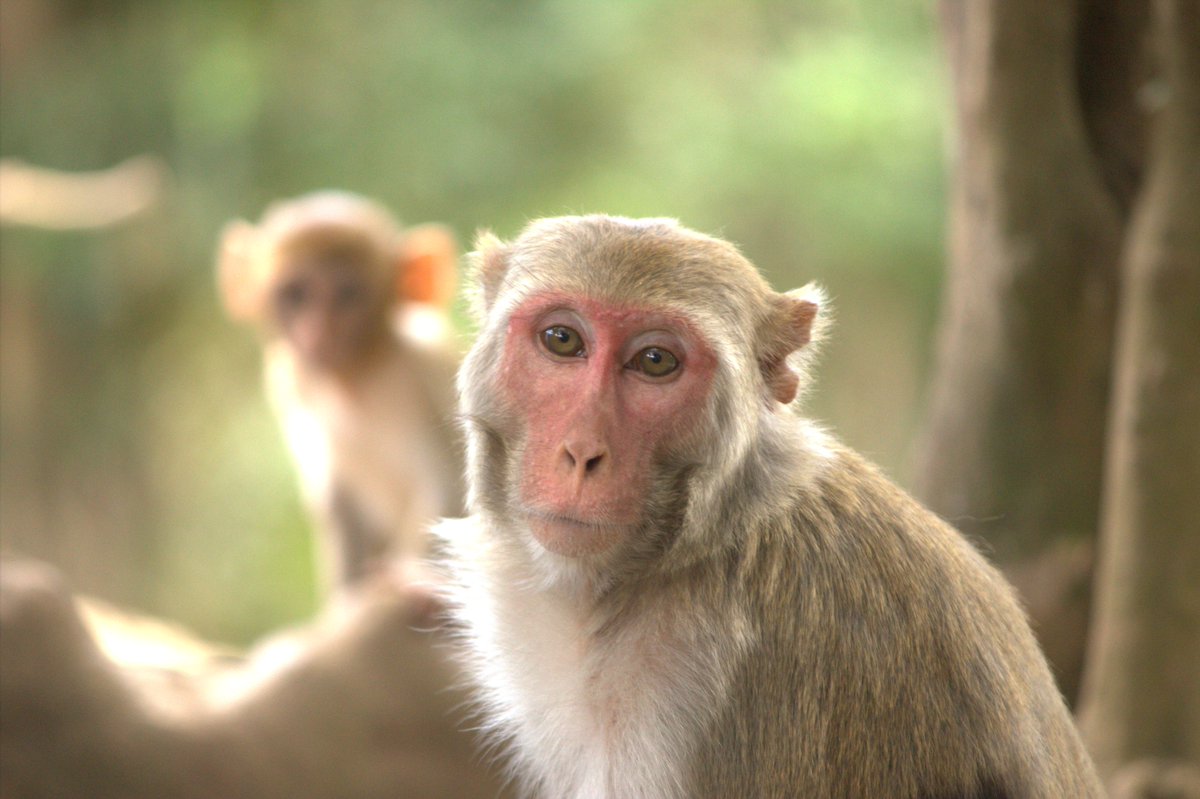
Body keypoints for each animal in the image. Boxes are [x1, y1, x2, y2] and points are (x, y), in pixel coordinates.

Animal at [218, 192, 465, 591]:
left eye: (349, 294)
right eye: (296, 294)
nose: (320, 330)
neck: (353, 379)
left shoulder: (423, 358)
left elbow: (448, 485)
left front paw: (404, 575)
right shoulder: (287, 381)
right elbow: (335, 500)